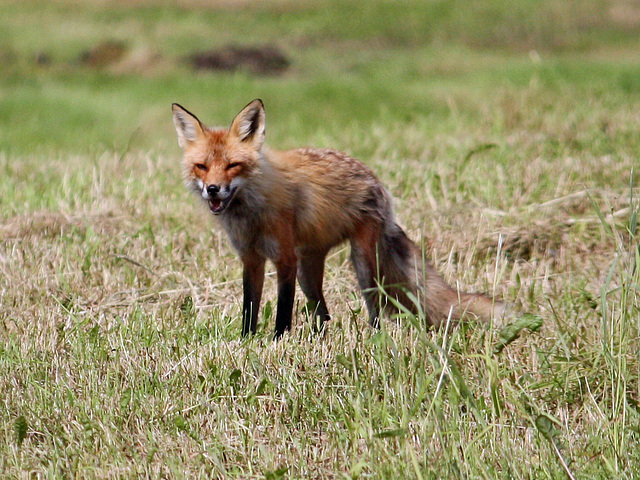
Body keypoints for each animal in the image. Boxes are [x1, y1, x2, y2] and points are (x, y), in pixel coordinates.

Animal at [171, 98, 504, 338]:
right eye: (202, 166)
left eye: (232, 166)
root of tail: (376, 181)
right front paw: (246, 341)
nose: (213, 190)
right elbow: (249, 308)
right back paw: (319, 339)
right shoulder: (251, 259)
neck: (251, 209)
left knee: (375, 309)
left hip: (362, 263)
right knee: (324, 313)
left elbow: (283, 310)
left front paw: (278, 342)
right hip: (308, 268)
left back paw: (372, 339)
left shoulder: (285, 258)